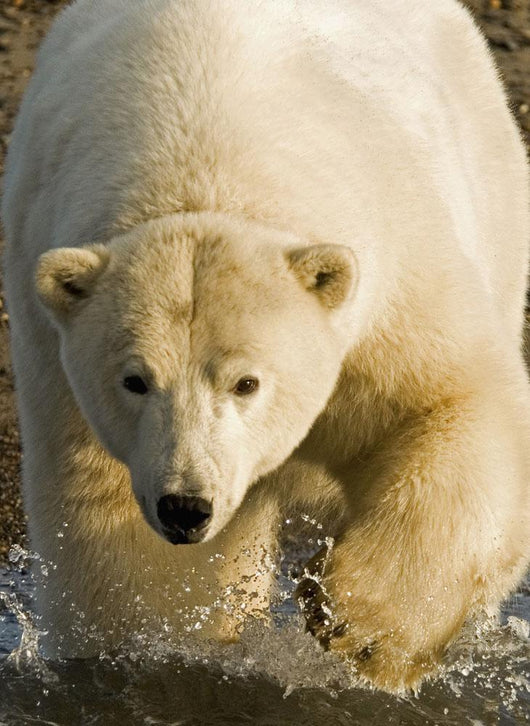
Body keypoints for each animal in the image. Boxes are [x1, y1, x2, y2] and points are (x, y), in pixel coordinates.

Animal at [2, 0, 530, 693]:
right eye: (135, 380)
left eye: (246, 382)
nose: (185, 506)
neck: (201, 153)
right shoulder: (61, 368)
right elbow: (110, 517)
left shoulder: (392, 280)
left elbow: (453, 401)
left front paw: (359, 627)